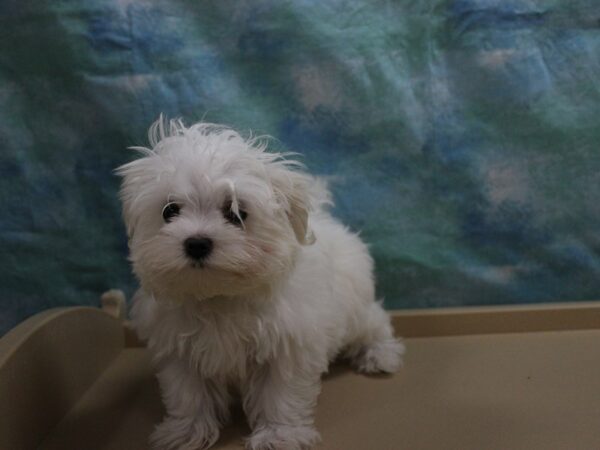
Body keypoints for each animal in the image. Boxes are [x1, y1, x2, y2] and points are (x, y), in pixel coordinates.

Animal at [117, 118, 406, 450]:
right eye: (170, 211)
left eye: (236, 212)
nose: (197, 243)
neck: (220, 295)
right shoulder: (178, 347)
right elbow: (189, 393)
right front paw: (186, 431)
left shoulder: (287, 343)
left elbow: (280, 394)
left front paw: (279, 435)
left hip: (354, 308)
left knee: (375, 321)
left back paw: (379, 353)